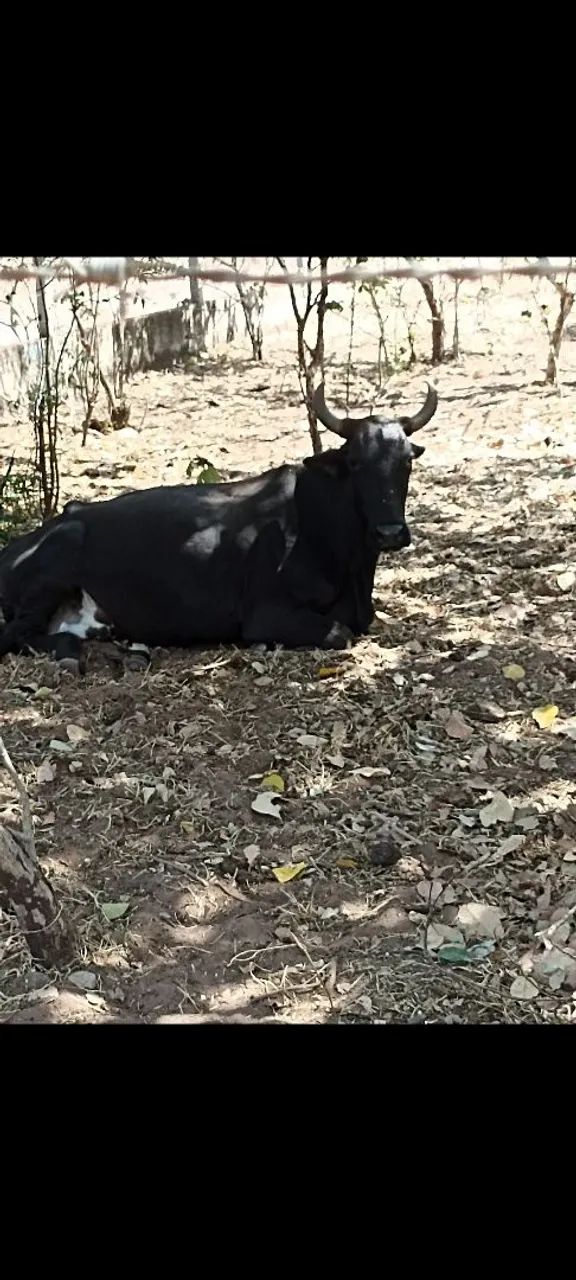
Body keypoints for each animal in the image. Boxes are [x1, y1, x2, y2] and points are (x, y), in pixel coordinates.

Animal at [0, 380, 437, 672]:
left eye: (406, 461)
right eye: (355, 463)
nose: (389, 532)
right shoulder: (265, 614)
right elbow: (339, 633)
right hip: (61, 553)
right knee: (17, 635)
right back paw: (71, 654)